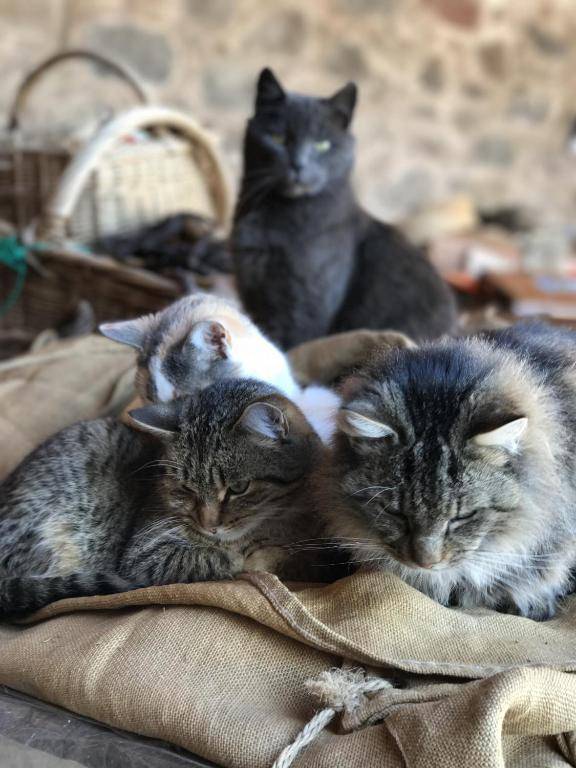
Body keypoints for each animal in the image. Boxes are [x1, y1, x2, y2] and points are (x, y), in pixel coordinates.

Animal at [0, 378, 324, 616]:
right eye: (186, 488)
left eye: (238, 488)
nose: (209, 525)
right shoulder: (144, 553)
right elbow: (222, 557)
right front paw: (252, 554)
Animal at [232, 67, 456, 350]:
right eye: (278, 138)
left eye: (322, 144)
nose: (298, 164)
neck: (277, 217)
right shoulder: (252, 290)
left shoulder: (308, 302)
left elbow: (293, 341)